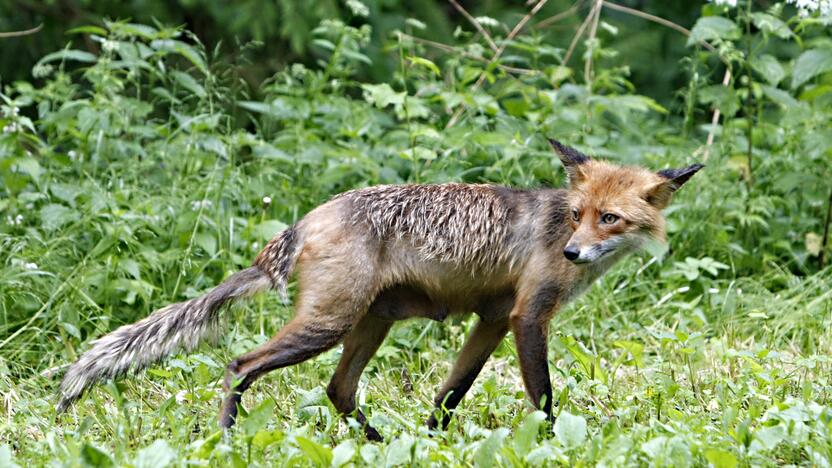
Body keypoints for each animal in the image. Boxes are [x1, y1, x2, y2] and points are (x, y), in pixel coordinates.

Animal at [57, 141, 704, 440]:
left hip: (371, 322)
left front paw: (433, 445)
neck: (555, 231)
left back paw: (377, 442)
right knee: (241, 364)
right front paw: (551, 446)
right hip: (329, 324)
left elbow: (449, 396)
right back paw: (227, 437)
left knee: (338, 390)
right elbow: (543, 399)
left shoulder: (493, 320)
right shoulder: (527, 317)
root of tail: (307, 217)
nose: (572, 252)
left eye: (609, 219)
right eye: (575, 215)